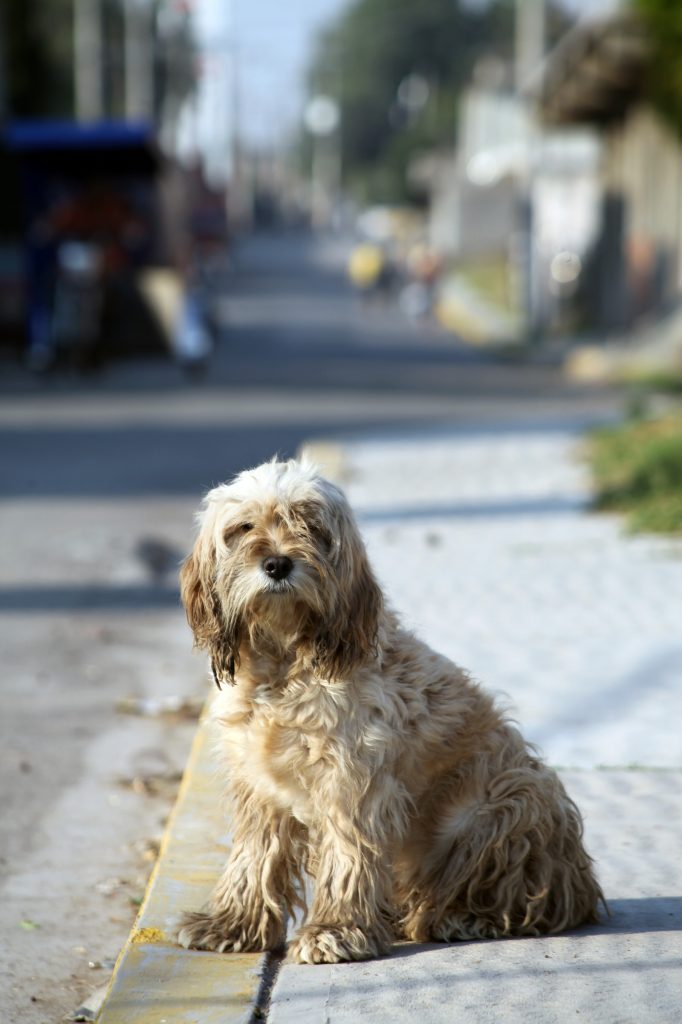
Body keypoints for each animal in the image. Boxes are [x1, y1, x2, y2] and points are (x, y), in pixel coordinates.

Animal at [178, 460, 602, 962]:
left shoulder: (354, 783)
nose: (278, 564)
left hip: (507, 800)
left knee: (514, 892)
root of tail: (583, 884)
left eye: (312, 527)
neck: (284, 664)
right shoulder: (258, 785)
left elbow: (347, 855)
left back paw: (464, 916)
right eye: (243, 528)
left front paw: (336, 930)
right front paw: (232, 924)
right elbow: (253, 856)